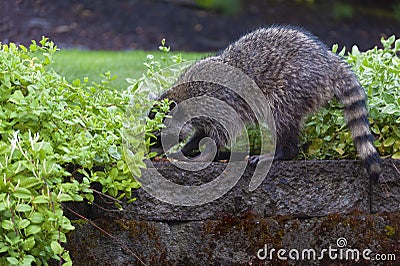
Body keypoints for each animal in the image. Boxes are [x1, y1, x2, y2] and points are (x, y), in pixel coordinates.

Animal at [153, 25, 382, 183]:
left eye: (157, 134)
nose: (152, 148)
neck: (185, 96)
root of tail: (329, 61)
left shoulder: (218, 102)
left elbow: (221, 134)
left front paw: (203, 154)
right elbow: (202, 133)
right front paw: (186, 147)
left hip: (295, 83)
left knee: (280, 116)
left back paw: (282, 153)